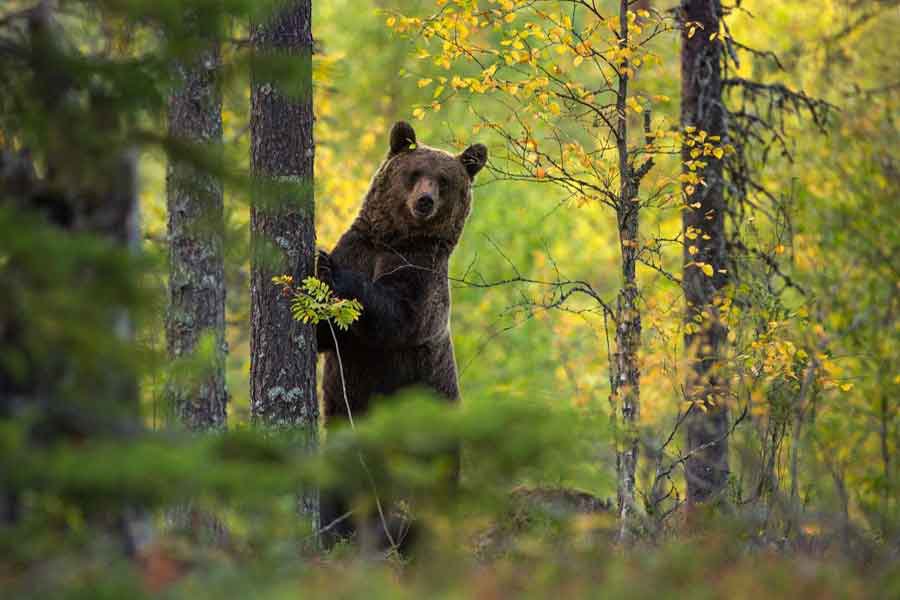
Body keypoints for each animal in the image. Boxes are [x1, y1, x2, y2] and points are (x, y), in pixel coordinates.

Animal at [314, 119, 486, 548]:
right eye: (415, 172)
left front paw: (330, 270)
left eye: (444, 180)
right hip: (346, 431)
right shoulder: (361, 246)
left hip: (428, 426)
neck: (394, 240)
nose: (424, 201)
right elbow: (327, 337)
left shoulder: (421, 275)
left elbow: (397, 315)